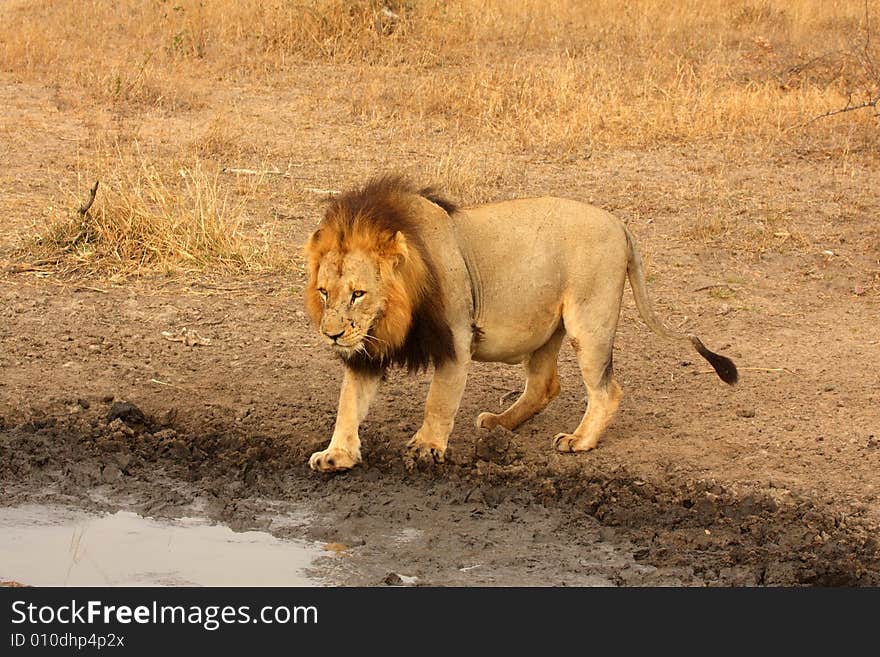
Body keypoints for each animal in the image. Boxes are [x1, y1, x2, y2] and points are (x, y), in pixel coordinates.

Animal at [302, 174, 736, 472]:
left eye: (358, 294)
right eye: (324, 292)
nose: (332, 335)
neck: (394, 313)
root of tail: (620, 225)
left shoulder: (456, 339)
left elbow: (438, 401)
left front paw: (426, 446)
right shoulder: (365, 352)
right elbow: (349, 402)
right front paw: (336, 454)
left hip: (589, 322)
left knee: (607, 390)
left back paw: (579, 440)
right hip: (546, 328)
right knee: (546, 385)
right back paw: (499, 423)